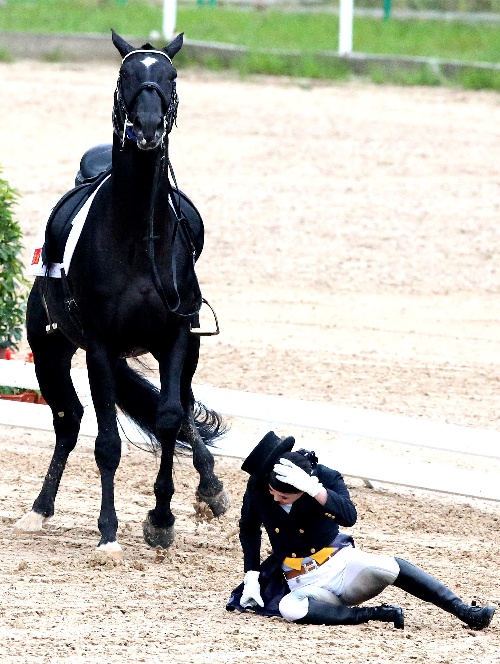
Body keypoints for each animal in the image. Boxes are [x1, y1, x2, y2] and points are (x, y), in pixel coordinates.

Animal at [13, 32, 229, 560]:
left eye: (171, 75)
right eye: (125, 75)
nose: (148, 127)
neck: (136, 237)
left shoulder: (176, 338)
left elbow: (170, 417)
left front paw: (162, 519)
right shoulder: (101, 348)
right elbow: (107, 442)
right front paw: (108, 533)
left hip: (185, 354)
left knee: (183, 407)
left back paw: (211, 487)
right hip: (49, 351)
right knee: (69, 421)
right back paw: (39, 509)